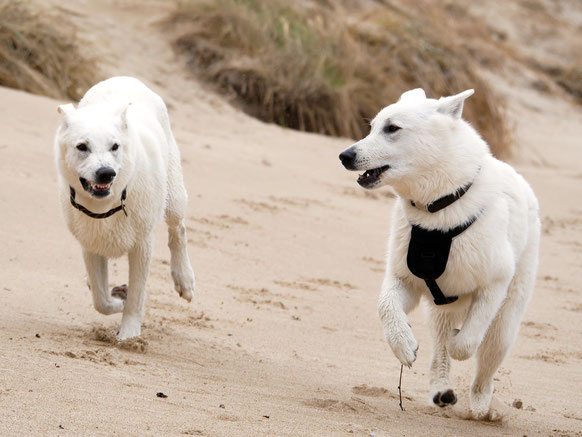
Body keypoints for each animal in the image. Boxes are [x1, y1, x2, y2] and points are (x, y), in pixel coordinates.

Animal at [54, 76, 196, 338]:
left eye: (115, 147)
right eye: (82, 147)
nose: (106, 173)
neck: (107, 204)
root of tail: (124, 78)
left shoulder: (142, 245)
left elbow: (137, 296)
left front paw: (128, 336)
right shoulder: (90, 244)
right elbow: (101, 299)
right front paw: (118, 298)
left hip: (173, 192)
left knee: (178, 229)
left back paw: (184, 279)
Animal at [340, 87, 544, 416]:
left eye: (392, 128)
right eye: (372, 127)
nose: (344, 156)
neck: (437, 207)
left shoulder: (494, 283)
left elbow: (466, 343)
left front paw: (461, 341)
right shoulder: (404, 278)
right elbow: (386, 307)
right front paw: (404, 346)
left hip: (505, 322)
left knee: (485, 360)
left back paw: (482, 406)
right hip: (441, 310)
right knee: (440, 348)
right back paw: (441, 389)